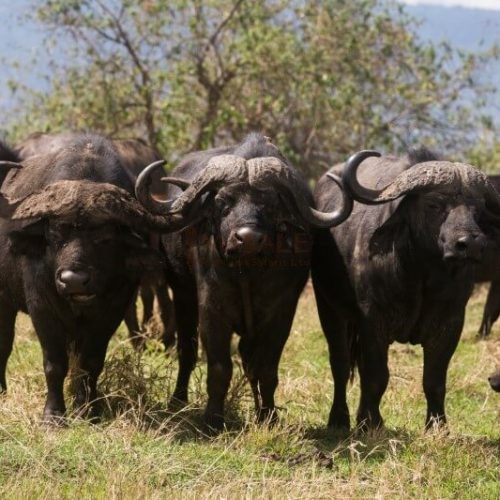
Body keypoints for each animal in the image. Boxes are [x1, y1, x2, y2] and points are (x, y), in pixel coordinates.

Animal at [0, 136, 170, 422]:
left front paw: (87, 410)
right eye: (54, 234)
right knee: (4, 344)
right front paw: (53, 415)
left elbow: (90, 362)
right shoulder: (42, 308)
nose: (73, 281)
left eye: (106, 237)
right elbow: (54, 363)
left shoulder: (112, 310)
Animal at [135, 134, 354, 434]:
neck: (247, 272)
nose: (248, 238)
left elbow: (266, 368)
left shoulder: (282, 312)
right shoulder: (212, 307)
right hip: (182, 292)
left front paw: (268, 415)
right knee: (187, 350)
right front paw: (213, 419)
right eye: (223, 203)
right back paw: (177, 400)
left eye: (270, 205)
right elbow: (219, 367)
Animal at [312, 146, 500, 430]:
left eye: (477, 210)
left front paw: (437, 425)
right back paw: (338, 418)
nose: (471, 244)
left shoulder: (450, 323)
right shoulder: (372, 321)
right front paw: (370, 422)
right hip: (328, 307)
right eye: (434, 204)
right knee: (340, 364)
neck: (420, 275)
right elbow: (376, 376)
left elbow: (435, 380)